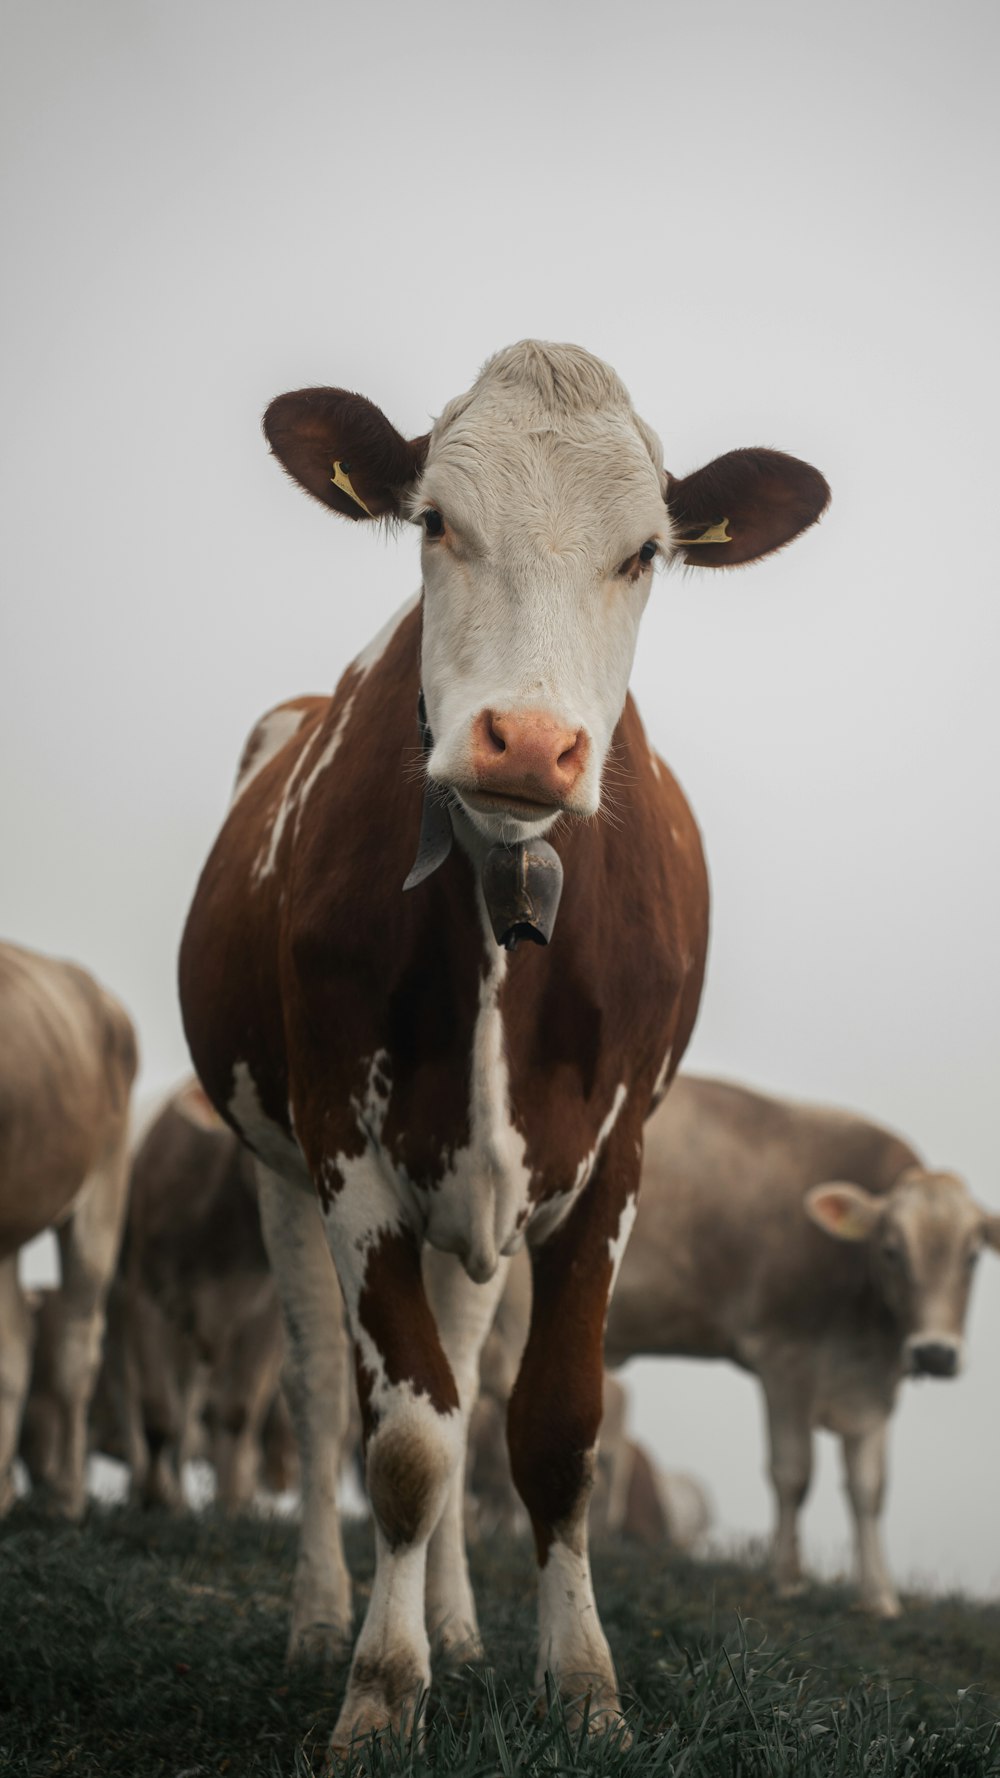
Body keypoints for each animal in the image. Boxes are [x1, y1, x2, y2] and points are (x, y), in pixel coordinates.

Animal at [597, 1073, 996, 1621]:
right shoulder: (787, 1358)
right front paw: (787, 1580)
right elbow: (794, 1472)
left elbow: (869, 1489)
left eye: (974, 1257)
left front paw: (880, 1598)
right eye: (891, 1250)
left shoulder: (872, 1387)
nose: (935, 1353)